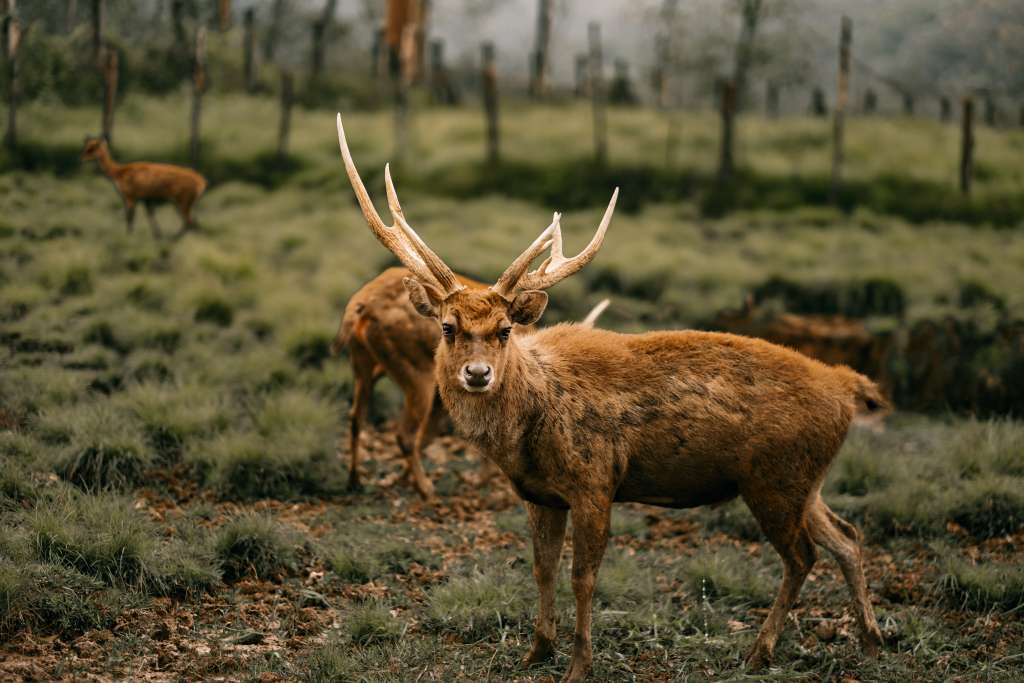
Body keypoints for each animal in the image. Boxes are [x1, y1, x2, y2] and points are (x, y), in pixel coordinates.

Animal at [333, 264, 606, 499]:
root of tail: (360, 307)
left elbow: (430, 433)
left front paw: (399, 478)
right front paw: (479, 479)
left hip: (363, 363)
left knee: (356, 417)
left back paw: (355, 480)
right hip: (416, 371)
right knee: (404, 433)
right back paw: (426, 490)